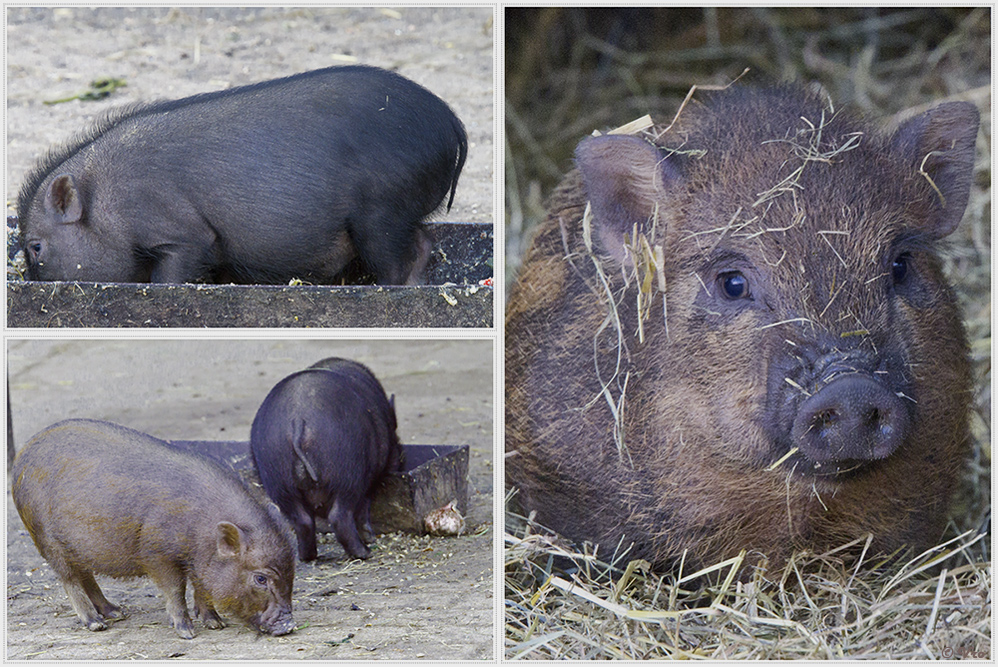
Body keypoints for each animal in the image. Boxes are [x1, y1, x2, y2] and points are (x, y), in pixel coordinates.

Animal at [9, 420, 296, 640]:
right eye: (261, 579)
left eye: (292, 570)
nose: (289, 625)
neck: (203, 530)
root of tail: (22, 454)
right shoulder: (157, 554)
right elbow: (176, 589)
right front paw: (188, 633)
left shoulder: (196, 560)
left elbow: (201, 585)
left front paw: (216, 623)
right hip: (45, 538)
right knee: (69, 579)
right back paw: (96, 624)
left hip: (77, 547)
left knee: (86, 575)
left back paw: (117, 612)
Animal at [16, 66, 468, 288]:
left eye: (36, 247)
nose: (32, 281)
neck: (104, 201)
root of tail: (452, 125)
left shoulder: (182, 233)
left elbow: (169, 275)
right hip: (398, 212)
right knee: (424, 243)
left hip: (380, 211)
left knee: (397, 260)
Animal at [252, 362, 404, 560]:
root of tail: (298, 419)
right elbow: (364, 507)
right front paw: (370, 538)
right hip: (348, 474)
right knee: (340, 516)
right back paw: (365, 553)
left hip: (278, 481)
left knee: (302, 520)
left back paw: (307, 556)